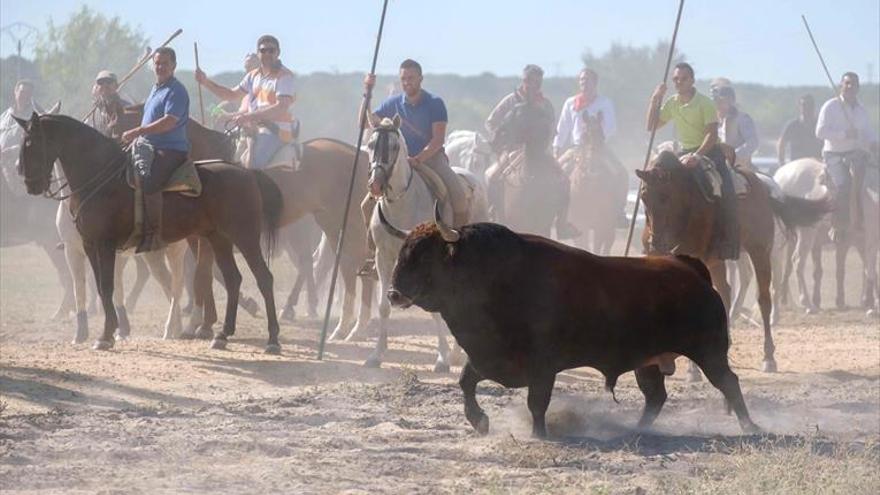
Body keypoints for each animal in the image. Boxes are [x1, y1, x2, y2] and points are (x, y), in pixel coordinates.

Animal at [13, 112, 284, 352]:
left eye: (30, 143)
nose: (30, 185)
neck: (101, 178)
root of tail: (247, 173)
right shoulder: (89, 246)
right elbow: (100, 287)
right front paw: (109, 332)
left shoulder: (106, 245)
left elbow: (108, 287)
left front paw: (106, 335)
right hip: (218, 239)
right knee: (232, 279)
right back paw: (222, 335)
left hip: (244, 237)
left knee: (262, 278)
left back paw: (271, 340)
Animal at [362, 116, 488, 370]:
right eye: (370, 144)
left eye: (394, 146)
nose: (376, 184)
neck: (402, 205)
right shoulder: (384, 258)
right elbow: (383, 307)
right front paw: (376, 355)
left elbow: (436, 309)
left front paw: (442, 359)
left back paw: (458, 353)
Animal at [568, 114, 628, 254]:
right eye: (583, 136)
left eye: (602, 137)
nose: (592, 166)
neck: (589, 191)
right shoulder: (580, 225)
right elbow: (583, 246)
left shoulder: (601, 226)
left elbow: (596, 248)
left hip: (609, 227)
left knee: (607, 246)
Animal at [636, 153, 828, 374]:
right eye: (644, 196)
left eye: (665, 196)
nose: (656, 242)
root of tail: (764, 186)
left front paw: (693, 370)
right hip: (717, 261)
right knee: (725, 293)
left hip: (759, 251)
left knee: (763, 299)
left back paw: (768, 357)